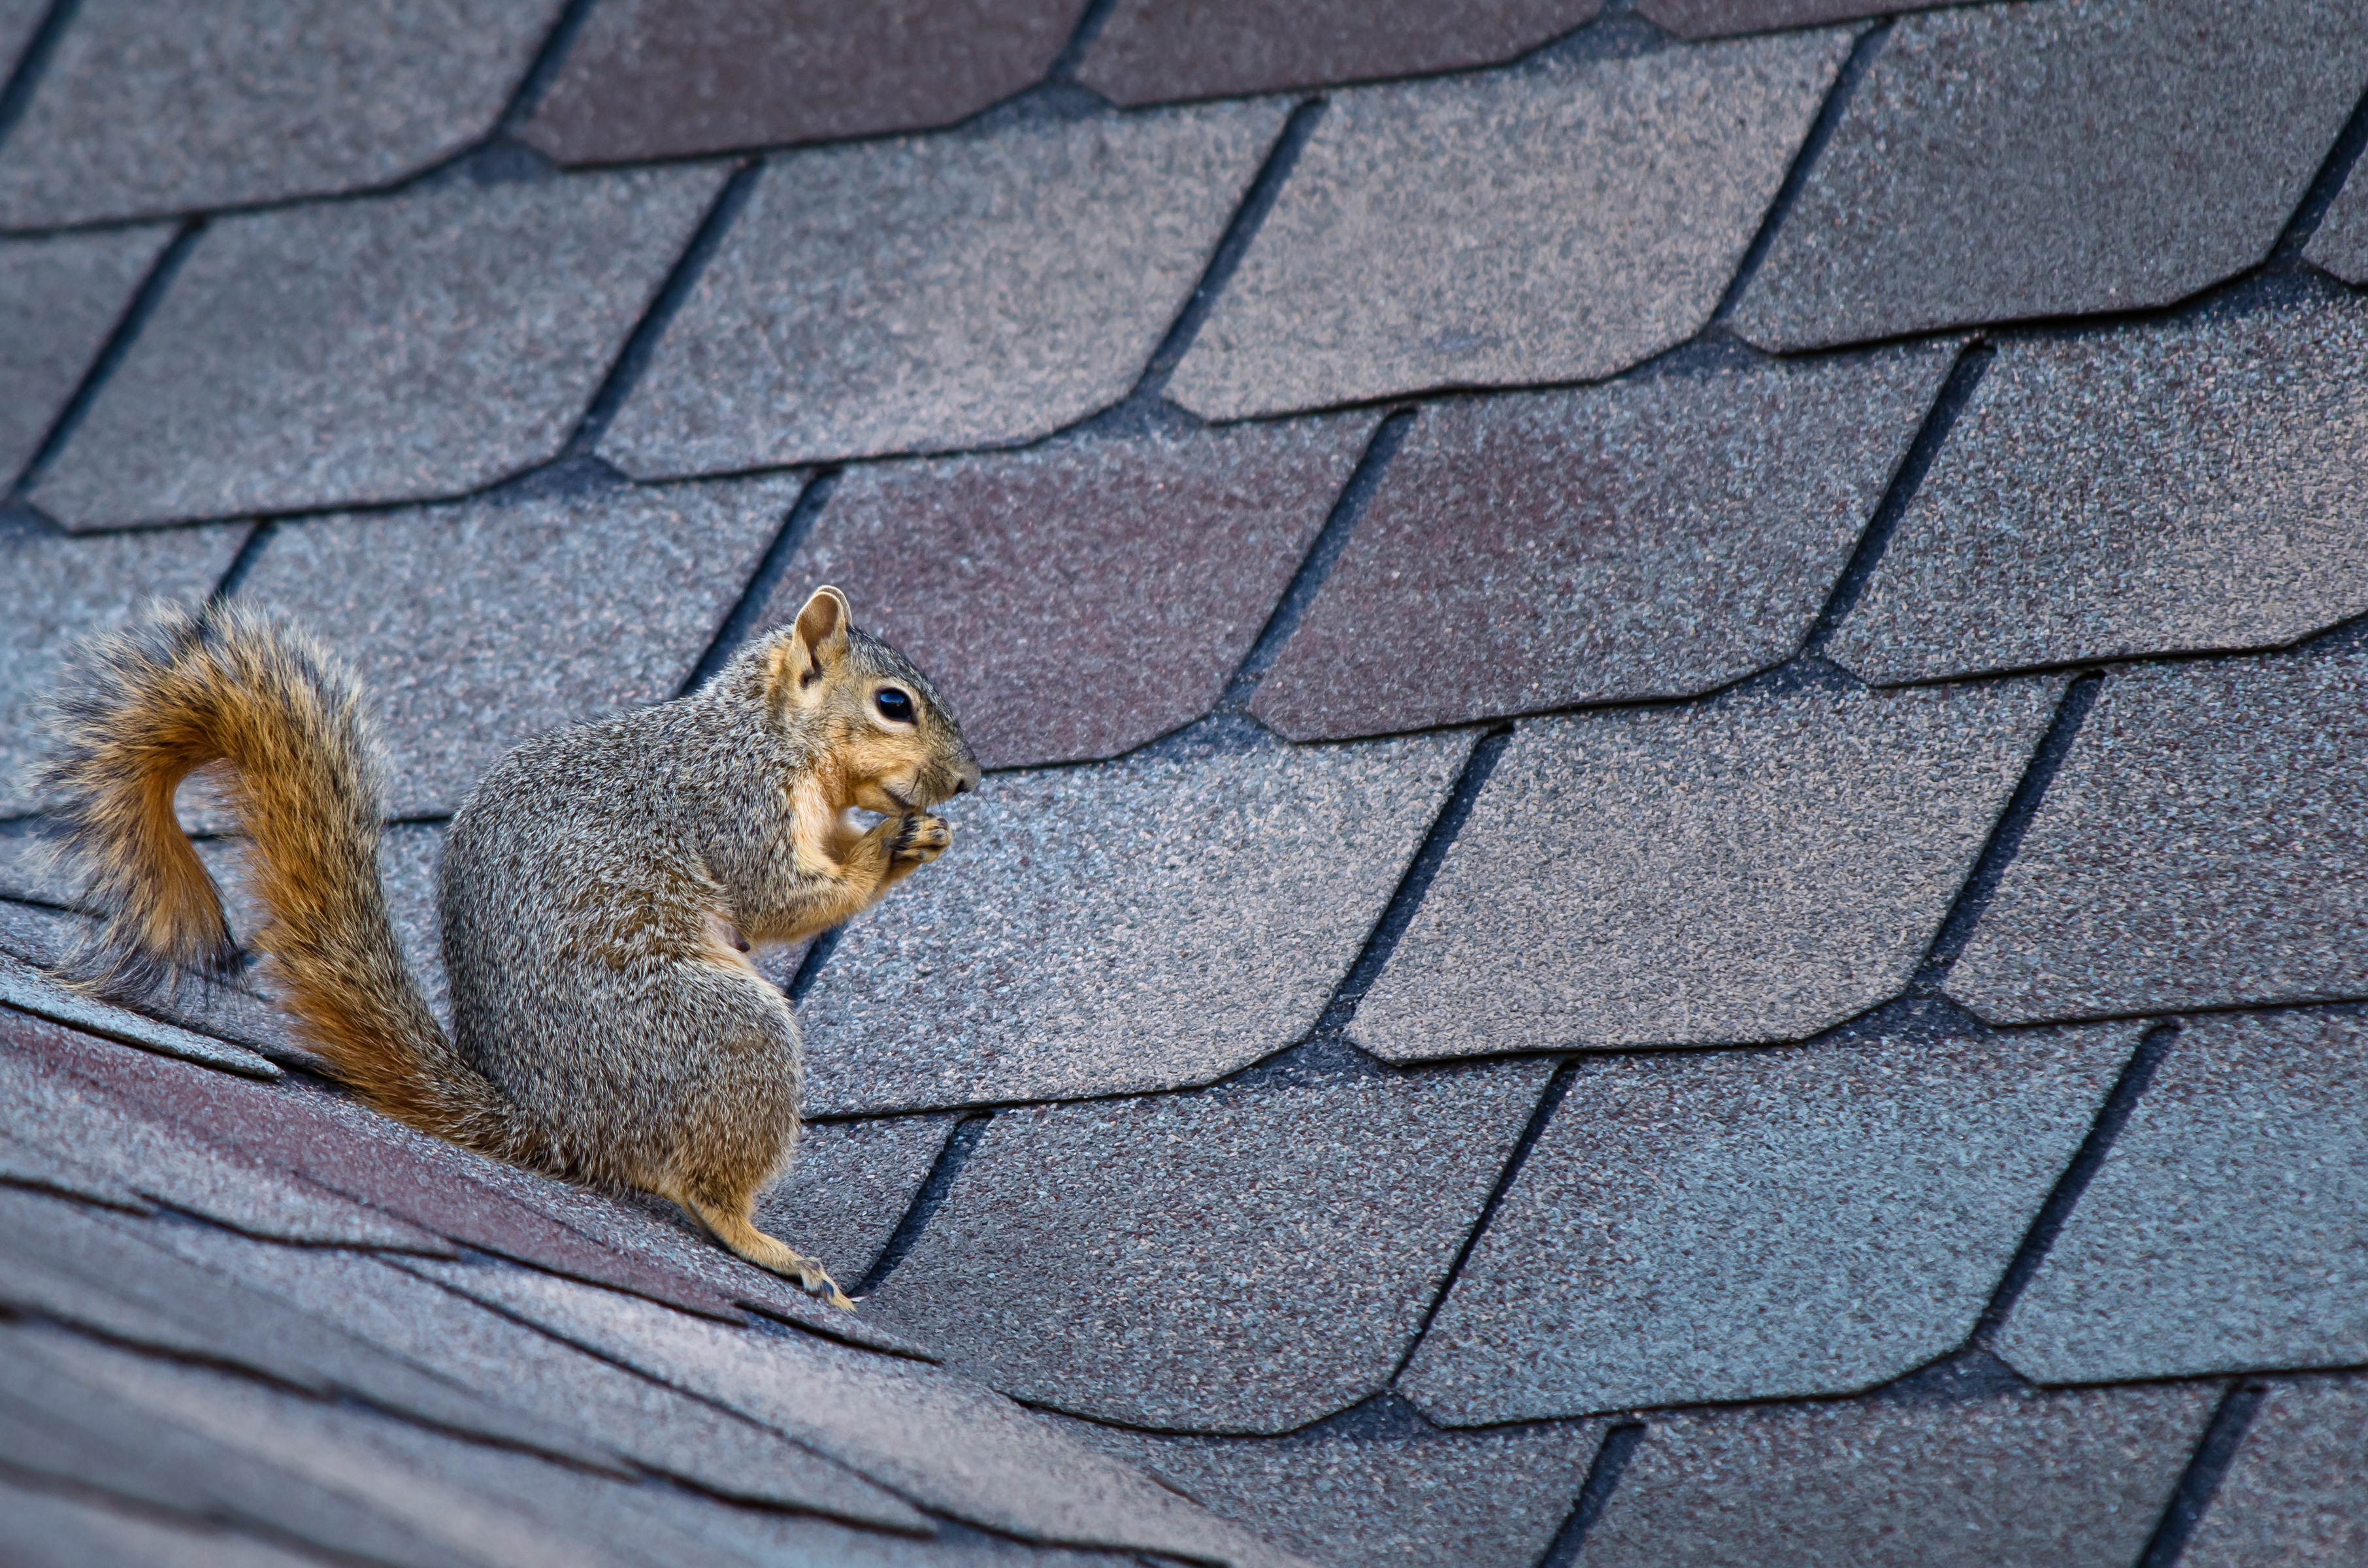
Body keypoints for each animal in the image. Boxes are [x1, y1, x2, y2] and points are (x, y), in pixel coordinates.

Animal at [37, 582, 980, 1307]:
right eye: (893, 704)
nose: (970, 780)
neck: (768, 733)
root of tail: (556, 1124)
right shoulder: (732, 806)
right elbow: (778, 897)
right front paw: (889, 849)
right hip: (719, 1030)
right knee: (704, 1186)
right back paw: (766, 1245)